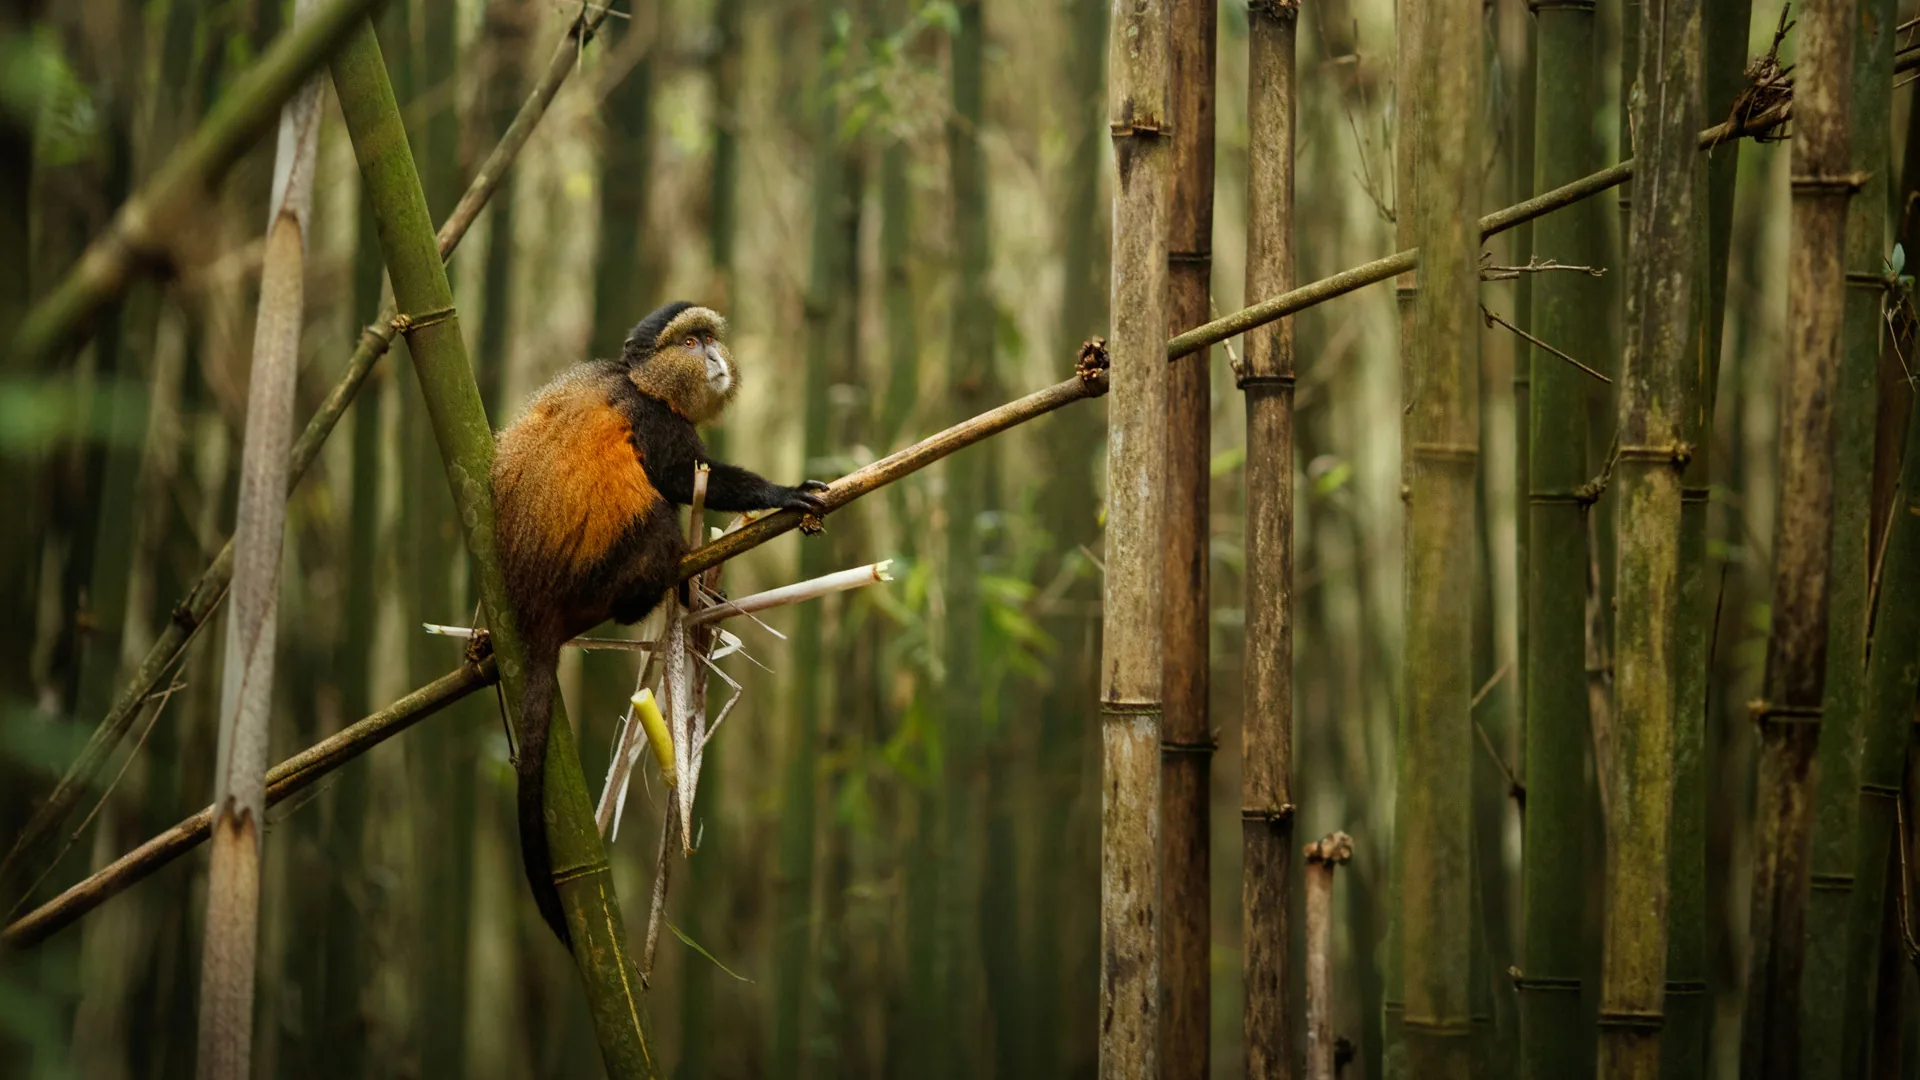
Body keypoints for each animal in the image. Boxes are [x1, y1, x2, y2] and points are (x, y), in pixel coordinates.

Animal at [491, 301, 828, 946]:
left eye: (710, 340)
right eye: (691, 343)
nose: (715, 357)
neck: (639, 380)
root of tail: (535, 605)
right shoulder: (657, 422)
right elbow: (680, 477)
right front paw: (783, 493)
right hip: (609, 571)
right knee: (660, 521)